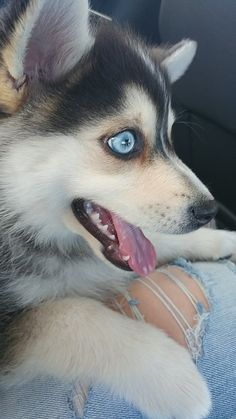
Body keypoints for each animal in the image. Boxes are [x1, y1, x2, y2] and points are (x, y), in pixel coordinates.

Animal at [0, 0, 236, 419]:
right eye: (124, 142)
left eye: (169, 137)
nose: (209, 210)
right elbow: (65, 313)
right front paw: (175, 378)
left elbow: (153, 240)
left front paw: (219, 239)